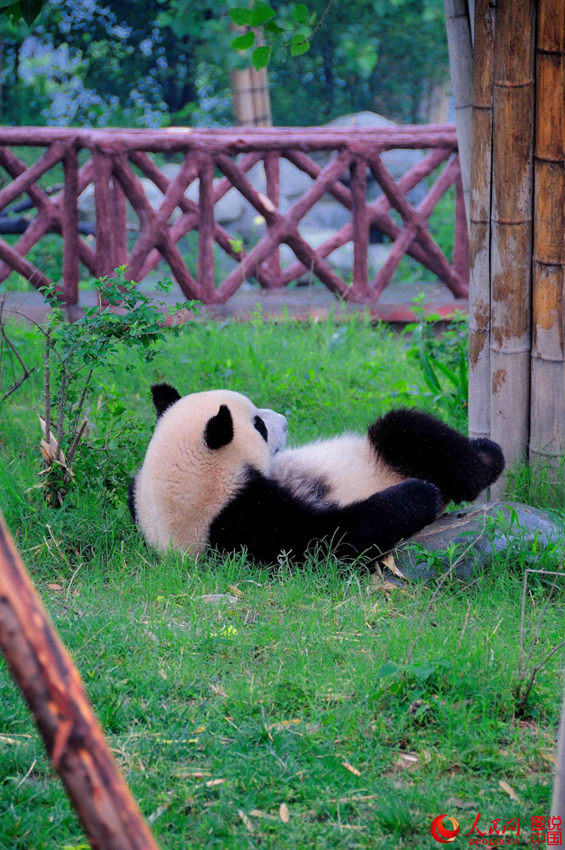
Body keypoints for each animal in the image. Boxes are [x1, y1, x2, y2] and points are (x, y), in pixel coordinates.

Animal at [128, 384, 502, 564]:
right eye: (259, 425)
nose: (284, 422)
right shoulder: (240, 524)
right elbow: (330, 539)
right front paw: (419, 495)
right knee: (404, 429)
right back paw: (485, 461)